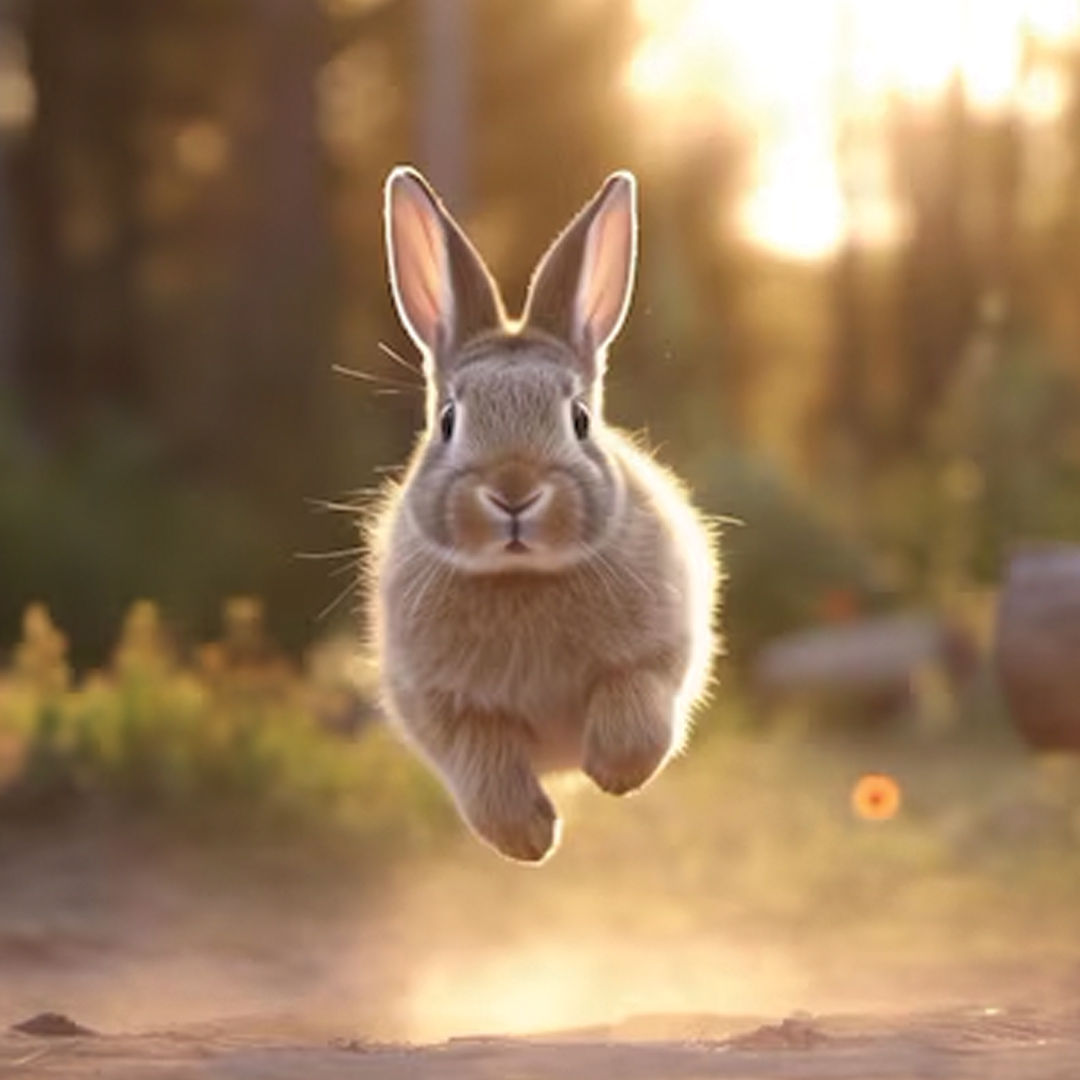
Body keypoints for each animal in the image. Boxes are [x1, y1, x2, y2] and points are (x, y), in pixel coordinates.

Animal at [364, 165, 720, 863]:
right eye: (449, 421)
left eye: (579, 419)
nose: (513, 491)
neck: (522, 576)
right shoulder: (447, 712)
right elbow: (484, 767)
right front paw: (530, 838)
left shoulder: (657, 654)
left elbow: (634, 707)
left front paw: (613, 773)